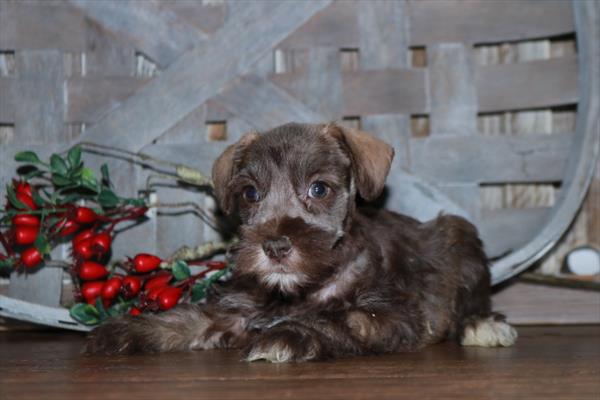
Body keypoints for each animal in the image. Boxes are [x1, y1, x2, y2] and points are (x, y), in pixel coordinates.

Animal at [86, 122, 516, 362]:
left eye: (319, 188)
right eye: (251, 193)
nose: (275, 246)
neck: (297, 292)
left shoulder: (392, 316)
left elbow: (340, 319)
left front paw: (289, 334)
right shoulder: (231, 311)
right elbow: (187, 319)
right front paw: (124, 330)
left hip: (459, 234)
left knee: (472, 304)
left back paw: (483, 326)